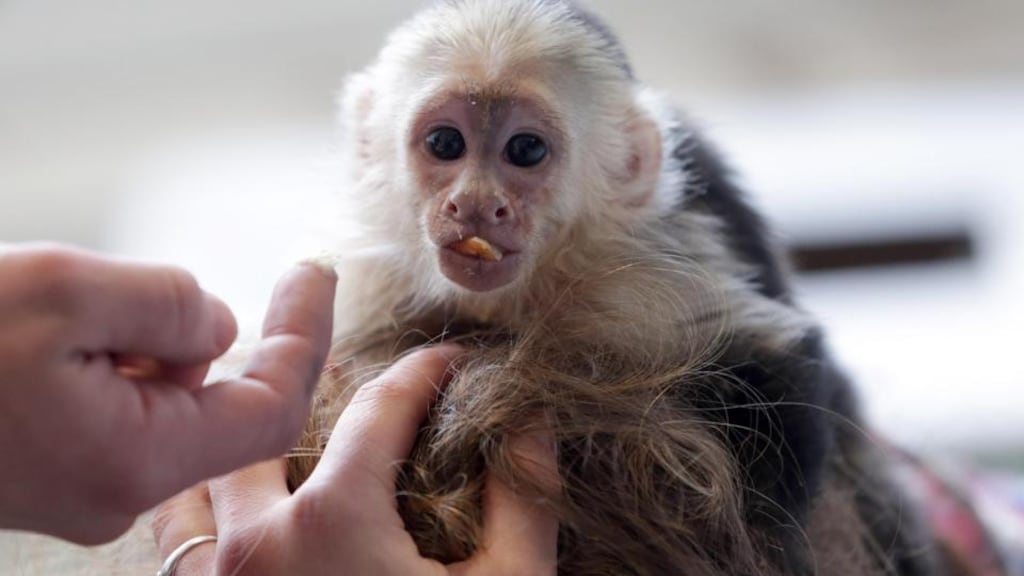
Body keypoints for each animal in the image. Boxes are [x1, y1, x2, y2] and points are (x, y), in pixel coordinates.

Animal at [283, 1, 973, 575]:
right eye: (445, 143)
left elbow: (778, 364)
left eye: (525, 150)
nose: (476, 205)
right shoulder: (379, 275)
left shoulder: (637, 272)